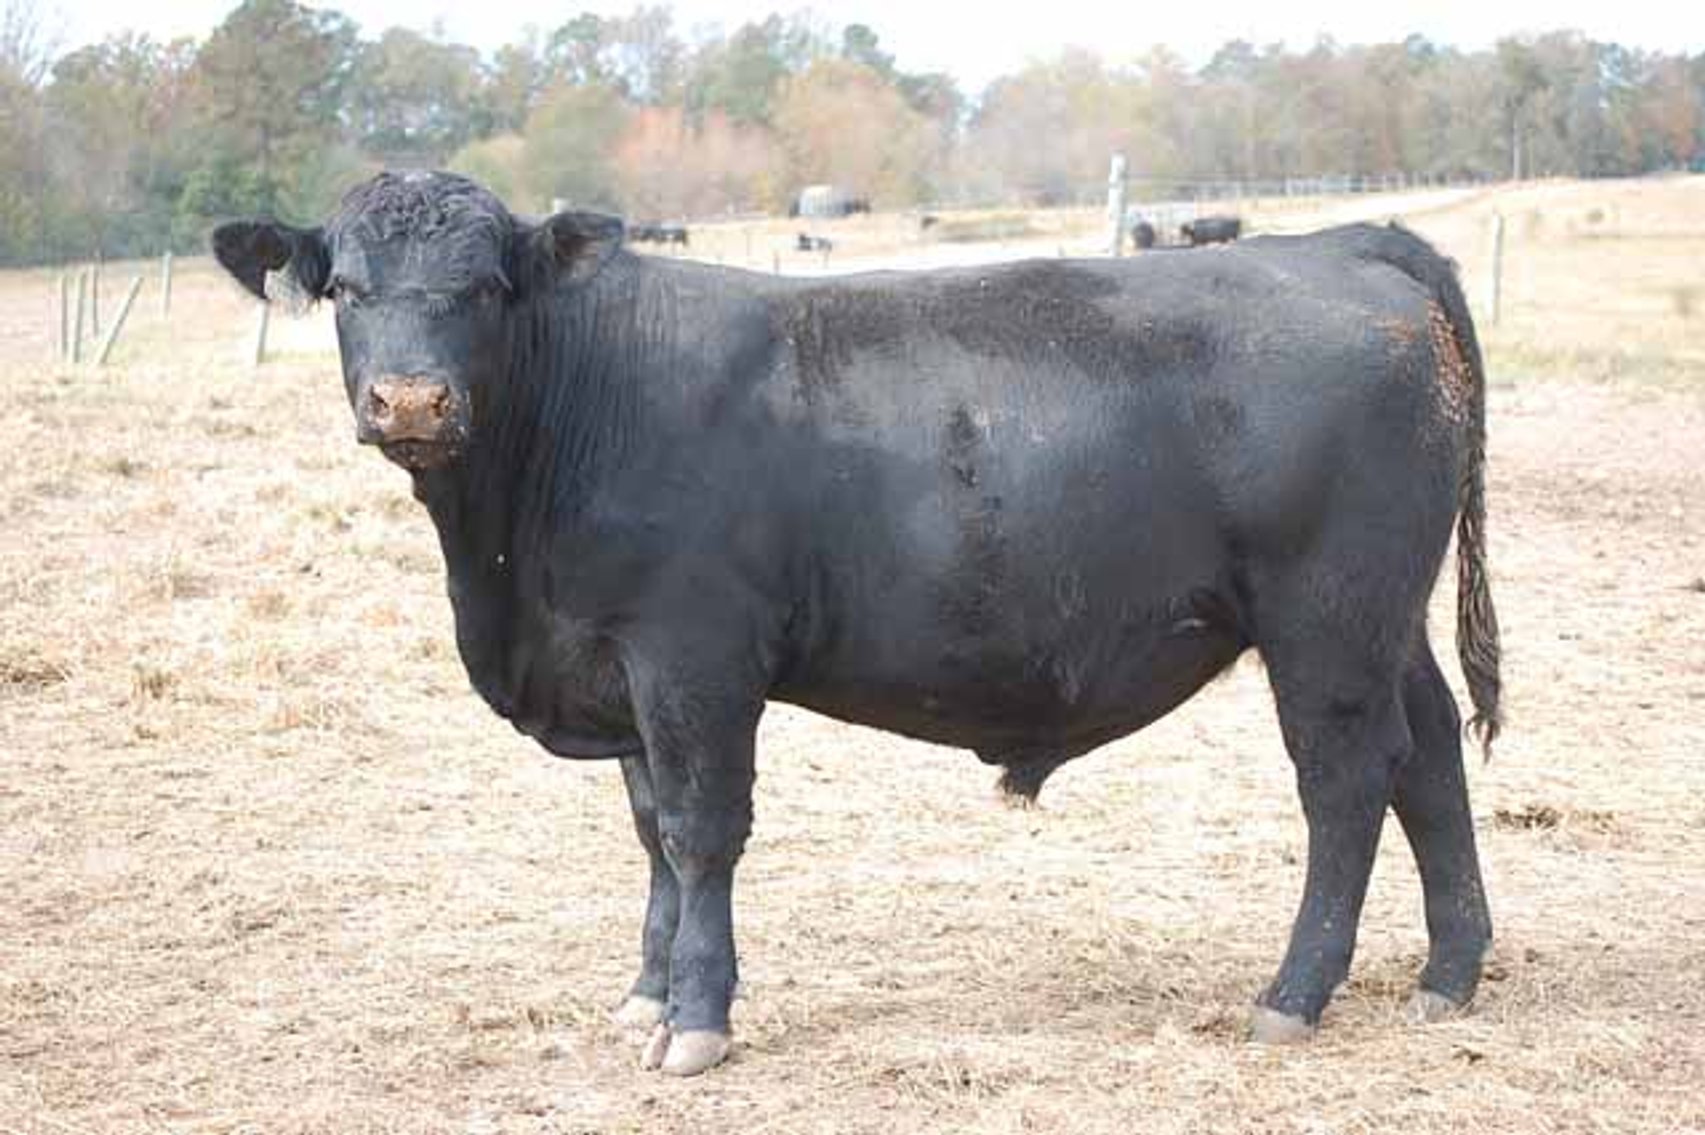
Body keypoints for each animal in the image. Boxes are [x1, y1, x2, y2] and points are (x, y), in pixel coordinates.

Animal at [212, 170, 1501, 1077]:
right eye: (345, 289)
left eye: (485, 287)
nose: (411, 402)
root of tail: (1342, 245)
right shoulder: (618, 664)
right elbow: (647, 833)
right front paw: (643, 994)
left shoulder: (691, 657)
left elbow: (700, 833)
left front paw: (695, 1020)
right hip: (1386, 620)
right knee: (1431, 759)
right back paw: (1447, 973)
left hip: (1323, 621)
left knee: (1346, 781)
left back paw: (1292, 996)